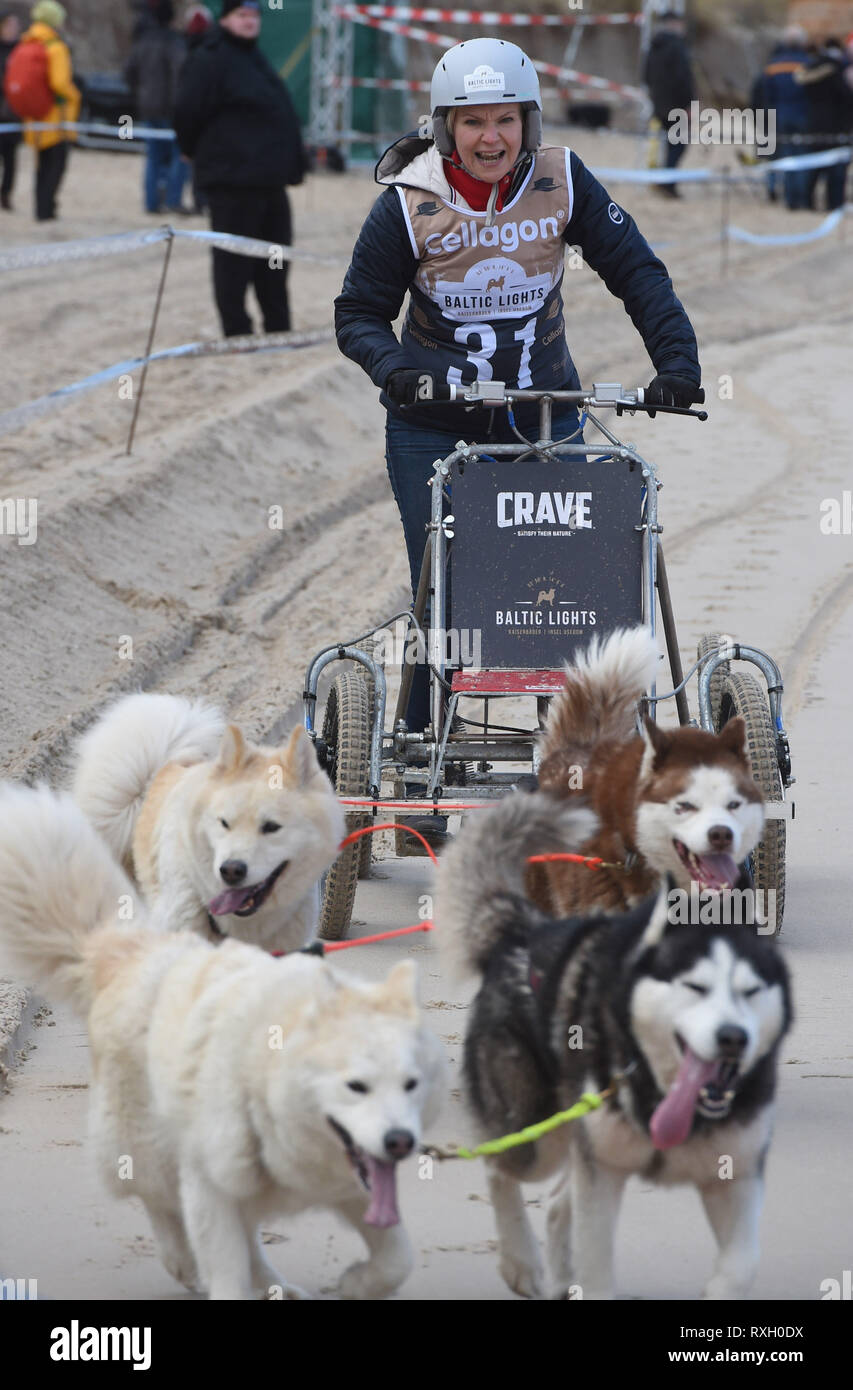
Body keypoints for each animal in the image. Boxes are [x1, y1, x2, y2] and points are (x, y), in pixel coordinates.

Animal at [0, 789, 447, 1295]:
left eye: (411, 1084)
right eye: (356, 1086)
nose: (399, 1142)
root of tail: (126, 951)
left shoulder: (349, 1181)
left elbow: (397, 1258)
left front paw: (357, 1283)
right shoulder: (210, 1185)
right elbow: (226, 1268)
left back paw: (275, 1287)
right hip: (151, 1148)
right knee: (160, 1203)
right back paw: (185, 1264)